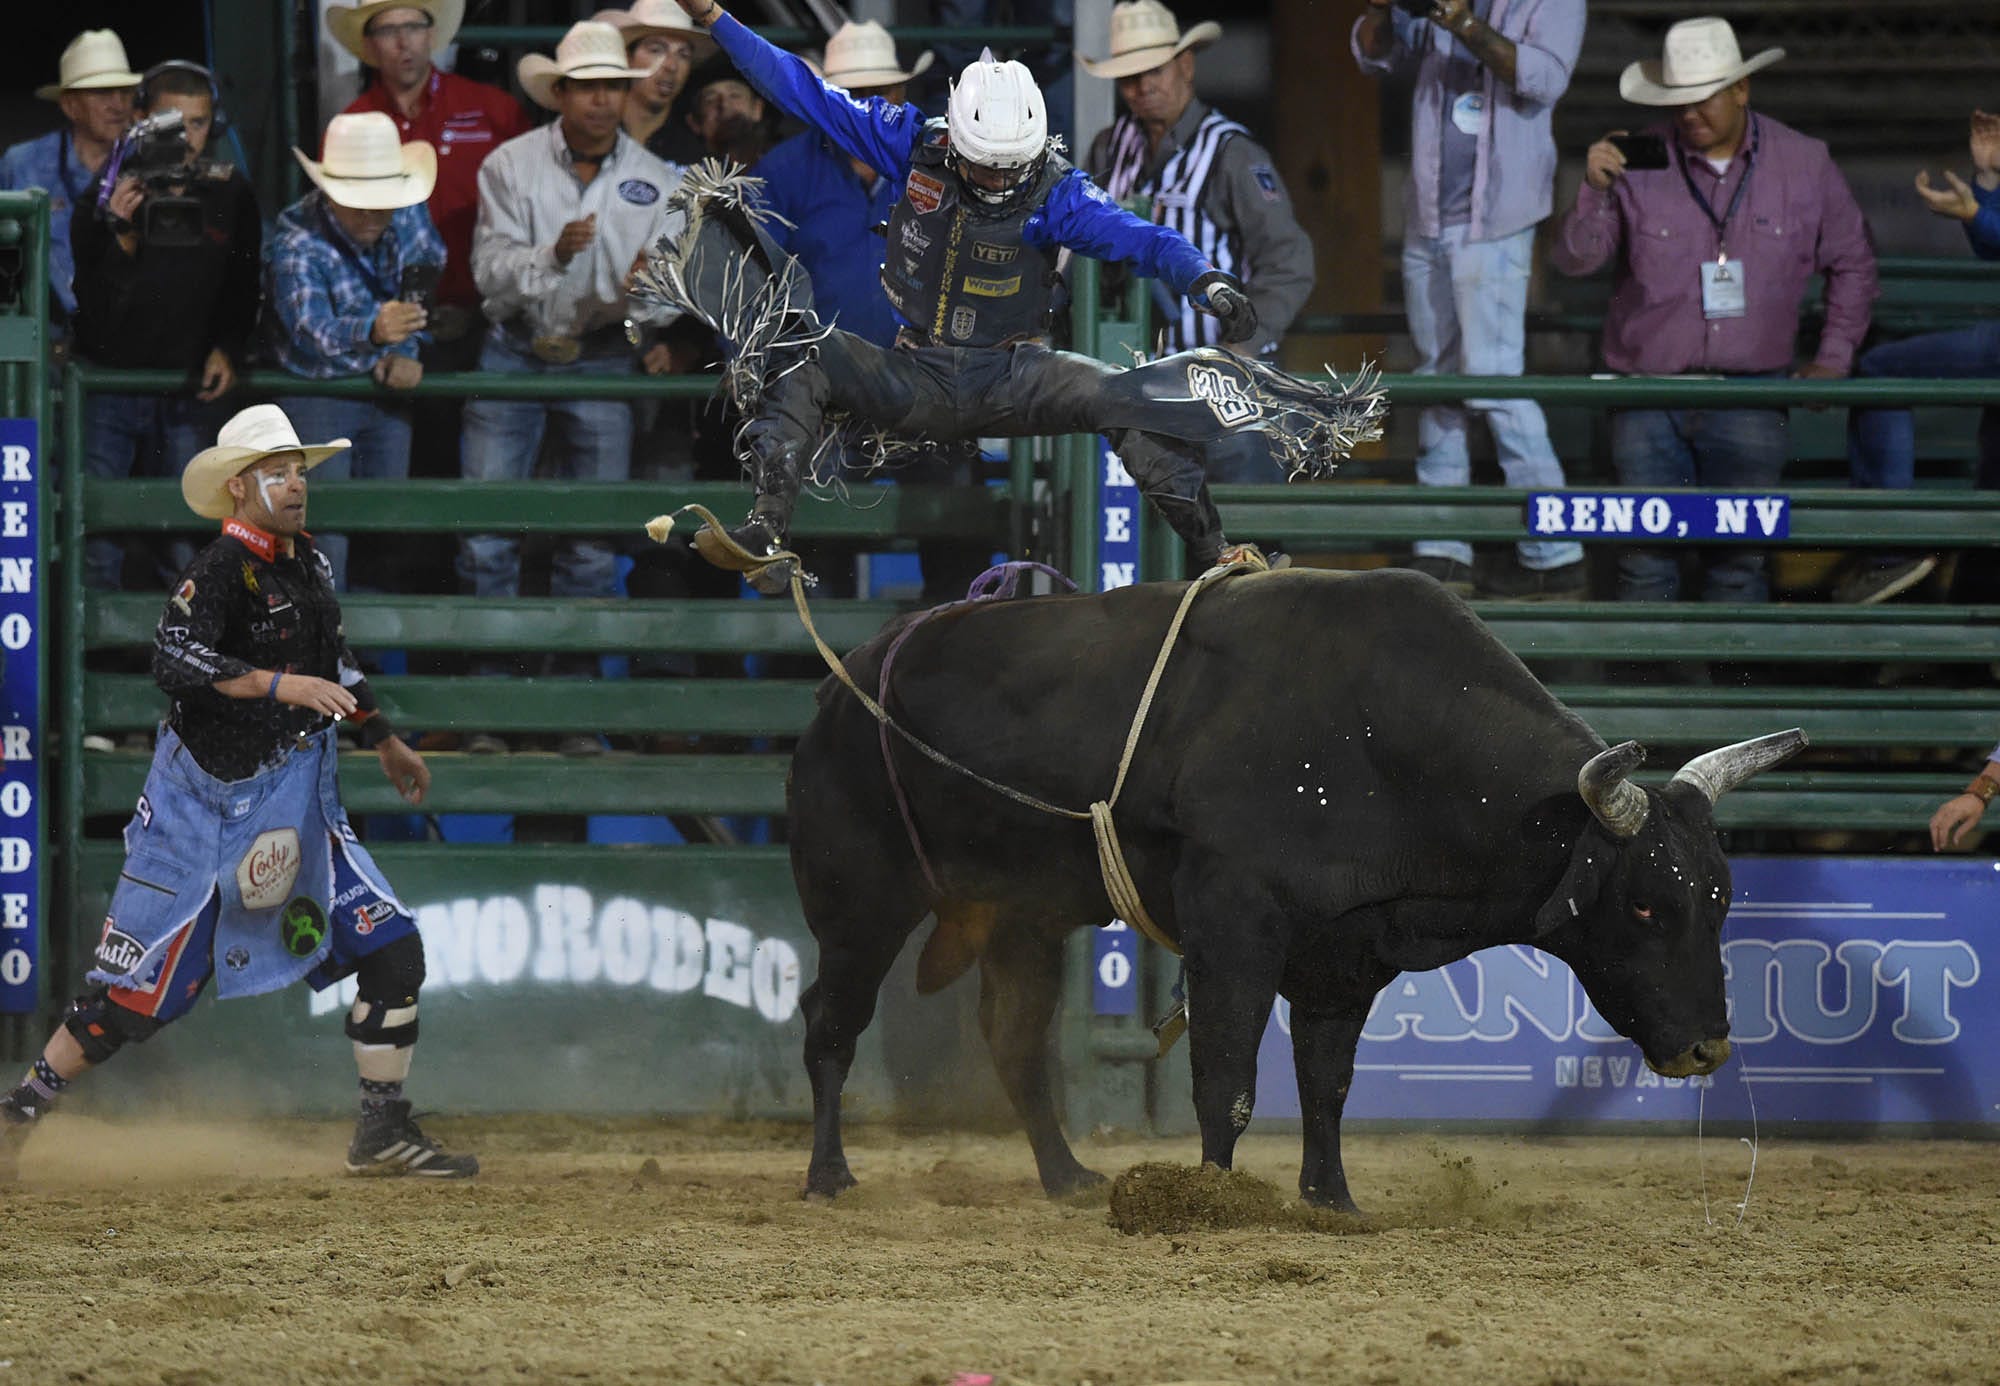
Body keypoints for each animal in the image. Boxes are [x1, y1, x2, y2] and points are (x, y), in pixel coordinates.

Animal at [780, 568, 1800, 1208]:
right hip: (860, 901)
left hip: (1020, 916)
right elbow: (1227, 1080)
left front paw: (1330, 1197)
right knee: (830, 1022)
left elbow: (1326, 1085)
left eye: (1719, 900)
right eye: (1645, 904)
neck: (1381, 741)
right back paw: (829, 1175)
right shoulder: (1235, 932)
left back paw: (1066, 1178)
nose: (1709, 1047)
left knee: (1015, 1038)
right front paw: (1215, 1196)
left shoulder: (1344, 952)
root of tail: (847, 682)